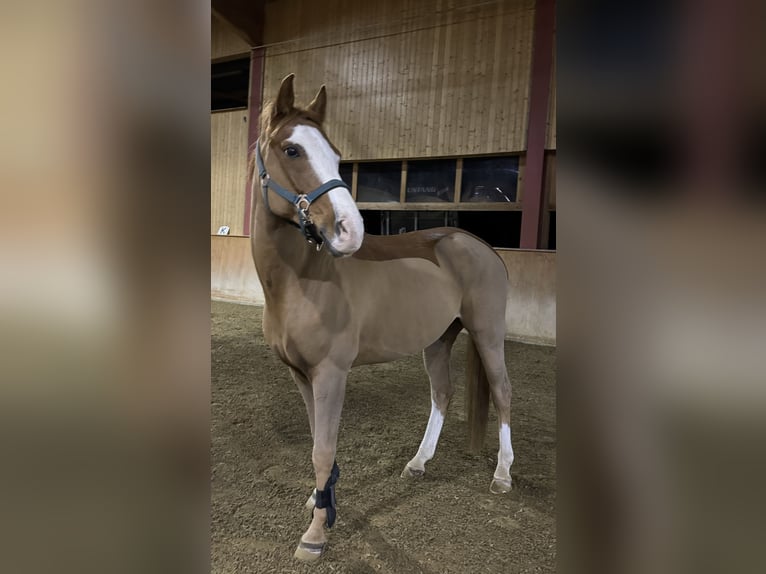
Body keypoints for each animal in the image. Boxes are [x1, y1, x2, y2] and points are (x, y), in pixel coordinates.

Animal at [252, 75, 516, 564]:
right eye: (292, 149)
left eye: (337, 154)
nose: (349, 230)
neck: (302, 279)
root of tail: (479, 244)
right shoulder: (301, 374)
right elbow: (317, 438)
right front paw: (320, 500)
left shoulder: (331, 373)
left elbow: (323, 448)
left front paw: (315, 534)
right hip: (439, 339)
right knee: (442, 393)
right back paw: (418, 463)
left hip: (488, 333)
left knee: (503, 392)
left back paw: (503, 475)